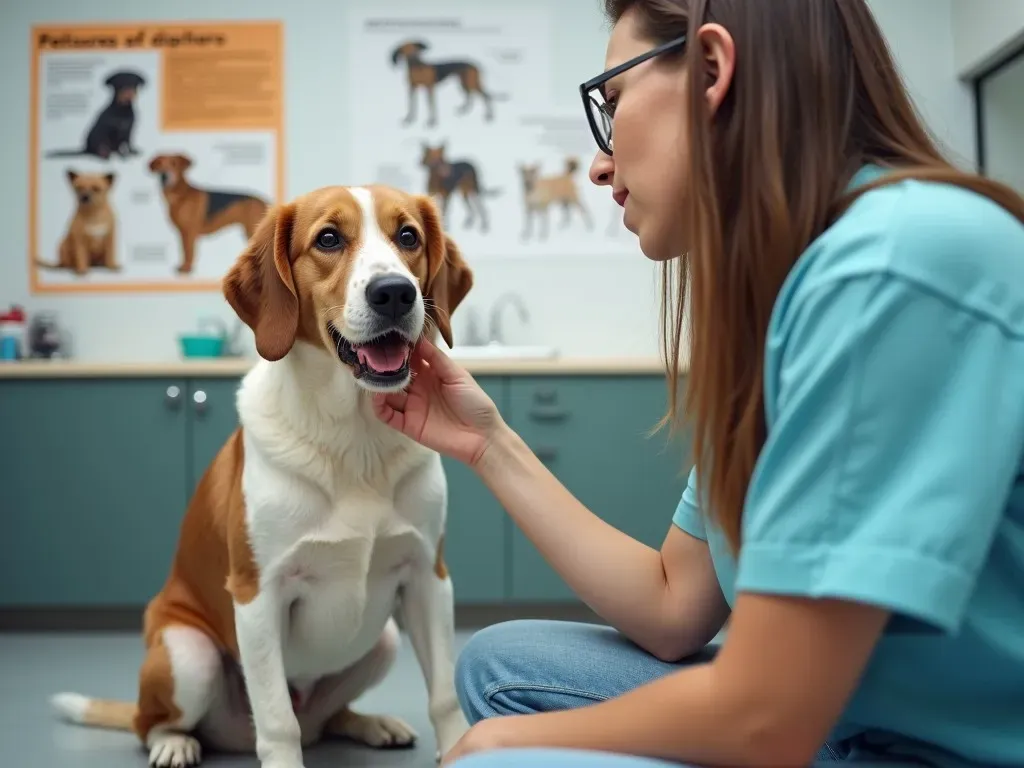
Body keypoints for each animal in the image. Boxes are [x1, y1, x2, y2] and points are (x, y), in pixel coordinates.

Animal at [49, 183, 473, 765]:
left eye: (407, 235)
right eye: (329, 239)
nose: (394, 293)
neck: (353, 436)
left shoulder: (429, 577)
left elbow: (445, 695)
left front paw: (460, 749)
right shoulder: (258, 595)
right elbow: (276, 723)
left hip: (384, 638)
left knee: (326, 720)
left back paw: (370, 724)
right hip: (190, 655)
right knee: (155, 723)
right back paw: (175, 743)